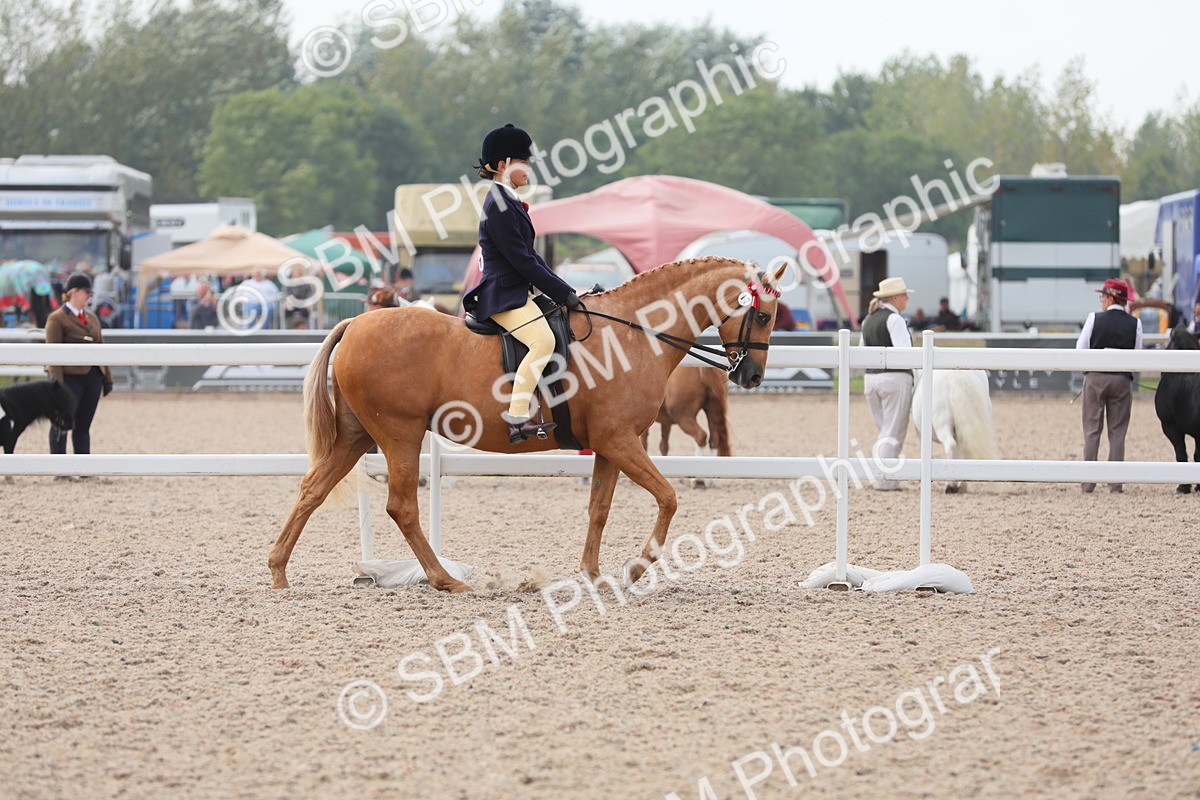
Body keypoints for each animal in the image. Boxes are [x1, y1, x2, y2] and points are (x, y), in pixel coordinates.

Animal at [268, 257, 786, 591]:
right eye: (762, 315)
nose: (752, 376)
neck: (633, 334)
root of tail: (354, 324)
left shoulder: (610, 444)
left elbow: (599, 508)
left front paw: (593, 576)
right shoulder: (622, 441)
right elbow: (668, 498)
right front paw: (636, 569)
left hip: (358, 436)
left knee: (312, 490)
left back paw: (278, 572)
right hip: (399, 434)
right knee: (402, 507)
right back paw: (445, 580)